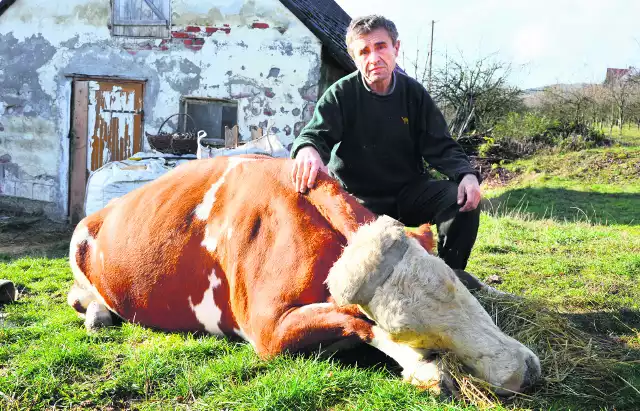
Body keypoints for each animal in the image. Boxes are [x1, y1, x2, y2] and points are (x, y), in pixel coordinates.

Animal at [69, 154, 540, 396]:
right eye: (410, 329)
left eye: (459, 293)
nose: (523, 370)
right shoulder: (267, 331)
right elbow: (359, 321)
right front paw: (425, 370)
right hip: (77, 249)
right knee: (78, 297)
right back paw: (98, 315)